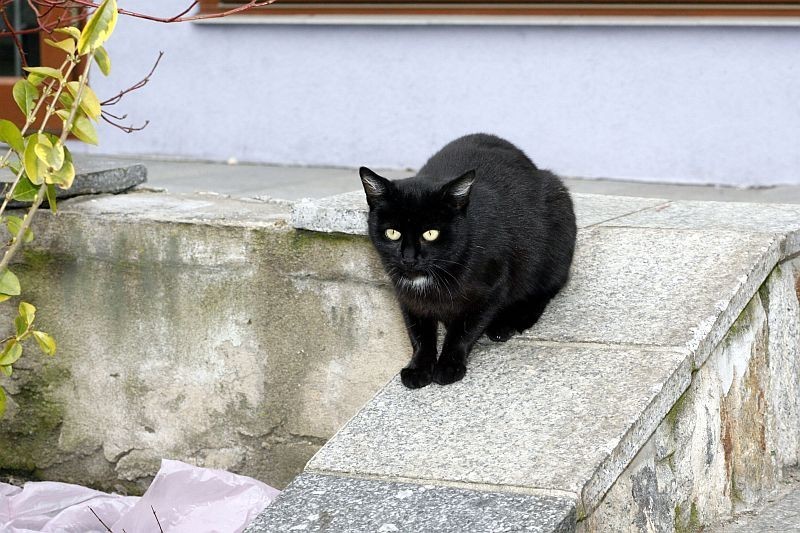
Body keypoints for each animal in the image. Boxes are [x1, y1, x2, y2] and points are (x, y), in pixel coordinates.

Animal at [360, 135, 576, 388]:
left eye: (430, 234)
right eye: (393, 233)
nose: (409, 257)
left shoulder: (492, 288)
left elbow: (463, 330)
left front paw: (448, 366)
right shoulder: (406, 295)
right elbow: (419, 332)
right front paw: (419, 367)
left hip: (555, 235)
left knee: (544, 291)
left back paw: (507, 324)